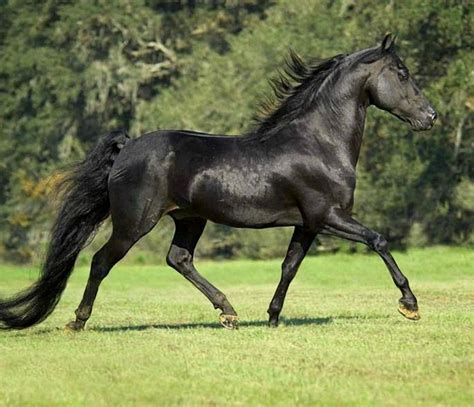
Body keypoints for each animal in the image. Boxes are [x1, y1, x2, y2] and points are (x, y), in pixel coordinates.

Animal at [0, 33, 436, 330]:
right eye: (402, 73)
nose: (430, 116)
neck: (318, 143)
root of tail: (127, 147)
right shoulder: (329, 215)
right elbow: (378, 240)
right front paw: (410, 305)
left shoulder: (308, 224)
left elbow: (289, 266)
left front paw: (272, 318)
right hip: (134, 223)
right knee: (101, 261)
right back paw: (78, 320)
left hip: (189, 218)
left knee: (179, 259)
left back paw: (228, 312)